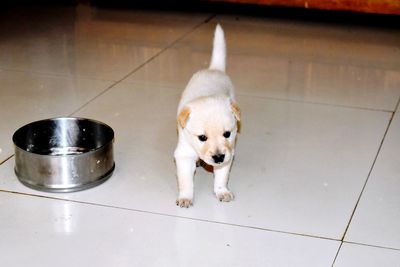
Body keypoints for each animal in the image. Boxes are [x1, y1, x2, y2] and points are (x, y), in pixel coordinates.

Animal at [173, 24, 239, 209]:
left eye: (227, 134)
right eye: (202, 137)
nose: (218, 157)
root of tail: (214, 69)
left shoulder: (228, 155)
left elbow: (221, 176)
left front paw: (222, 191)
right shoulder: (183, 154)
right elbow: (186, 181)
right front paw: (185, 197)